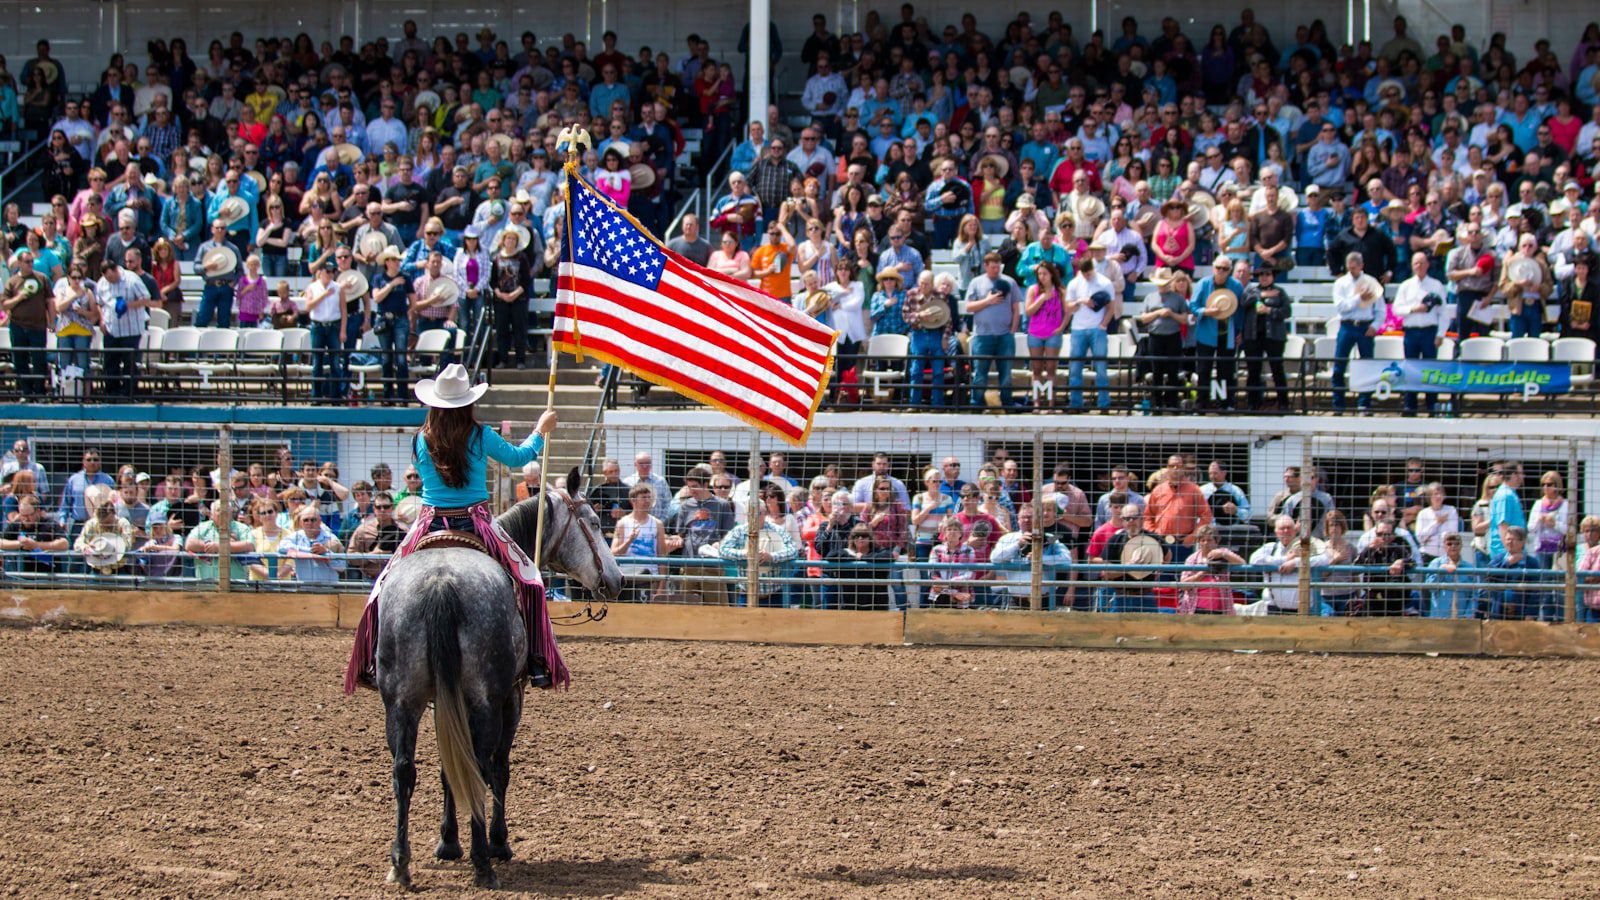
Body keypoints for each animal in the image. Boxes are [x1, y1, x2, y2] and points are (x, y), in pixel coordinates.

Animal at [377, 474, 620, 883]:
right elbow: (498, 769)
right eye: (595, 522)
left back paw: (400, 864)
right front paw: (498, 843)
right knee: (480, 764)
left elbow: (448, 767)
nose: (617, 580)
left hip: (401, 701)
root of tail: (441, 581)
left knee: (404, 770)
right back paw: (483, 862)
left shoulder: (442, 700)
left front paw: (447, 842)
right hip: (485, 699)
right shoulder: (511, 697)